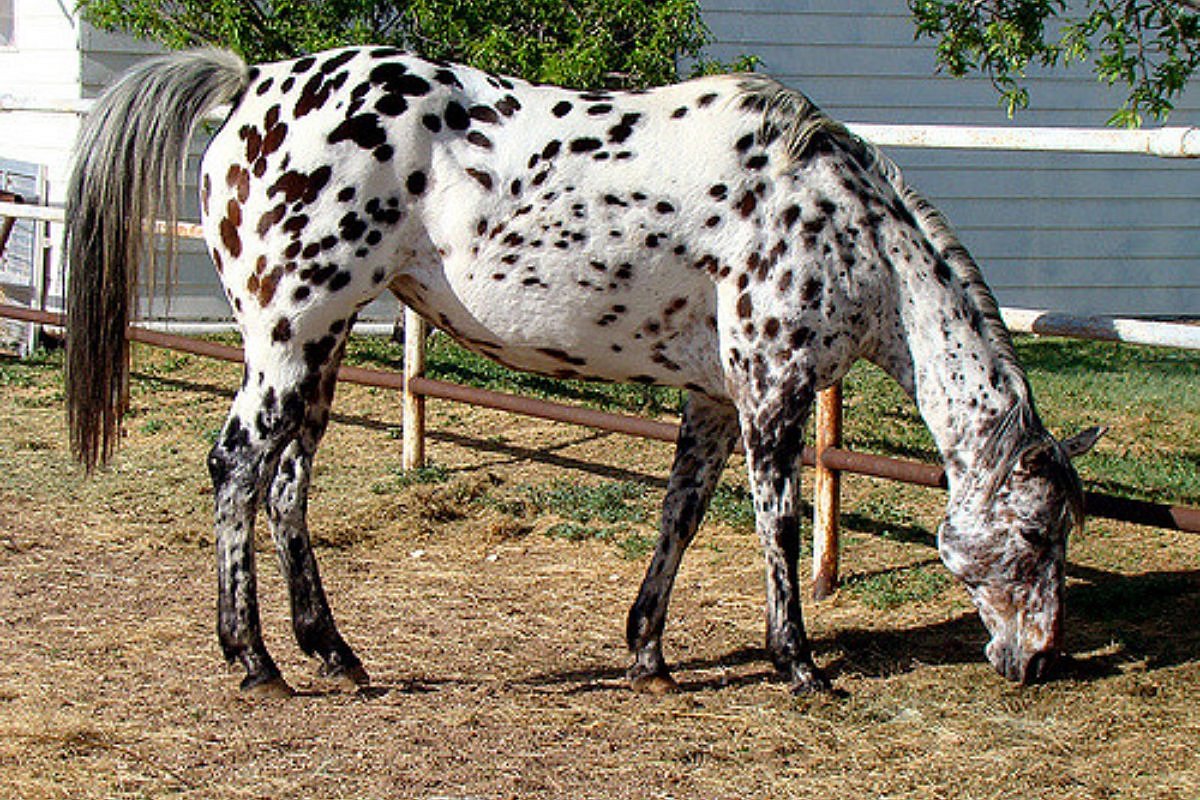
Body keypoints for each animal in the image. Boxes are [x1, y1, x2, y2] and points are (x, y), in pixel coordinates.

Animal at [64, 47, 1102, 697]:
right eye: (1037, 534)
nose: (1038, 661)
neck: (843, 223)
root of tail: (254, 86)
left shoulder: (713, 398)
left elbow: (681, 514)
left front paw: (649, 656)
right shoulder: (773, 393)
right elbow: (777, 524)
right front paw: (800, 668)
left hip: (319, 349)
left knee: (285, 487)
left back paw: (335, 655)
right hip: (290, 339)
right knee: (236, 468)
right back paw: (255, 663)